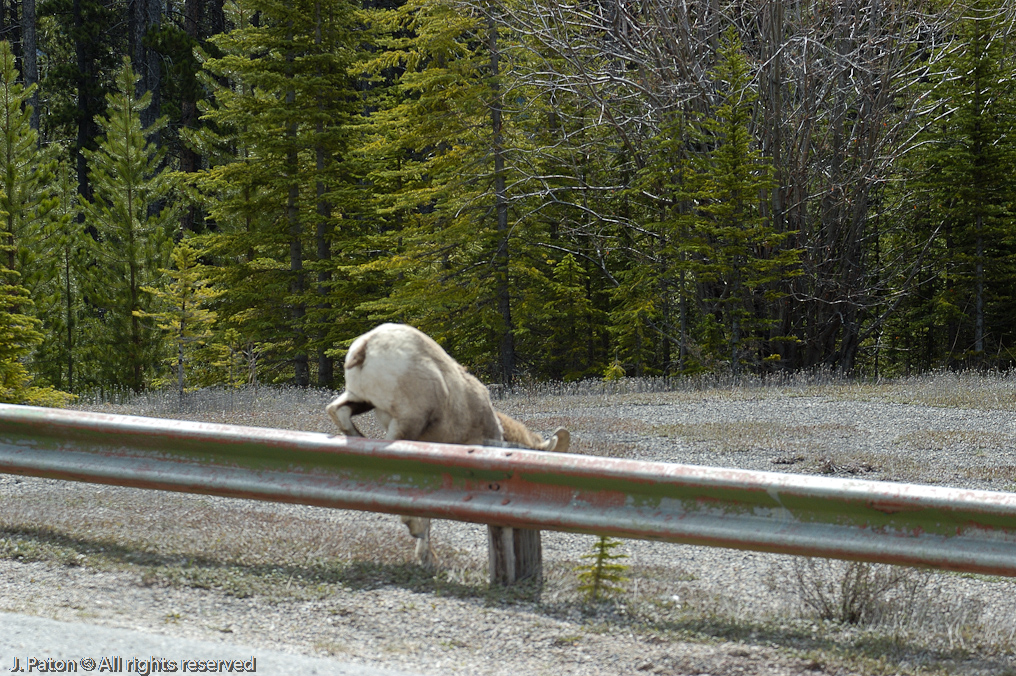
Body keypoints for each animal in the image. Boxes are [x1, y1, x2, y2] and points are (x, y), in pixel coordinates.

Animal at [325, 321, 568, 565]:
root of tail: (367, 345)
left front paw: (426, 557)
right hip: (406, 422)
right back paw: (411, 523)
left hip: (360, 398)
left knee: (337, 411)